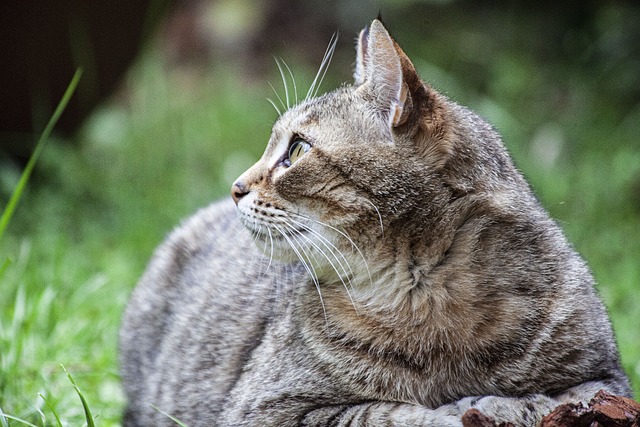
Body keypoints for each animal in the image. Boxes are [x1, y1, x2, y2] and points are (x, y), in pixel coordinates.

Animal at [119, 18, 632, 426]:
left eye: (297, 150)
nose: (236, 187)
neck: (427, 297)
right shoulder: (268, 407)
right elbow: (387, 412)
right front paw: (457, 411)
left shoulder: (604, 379)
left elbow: (548, 399)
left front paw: (497, 405)